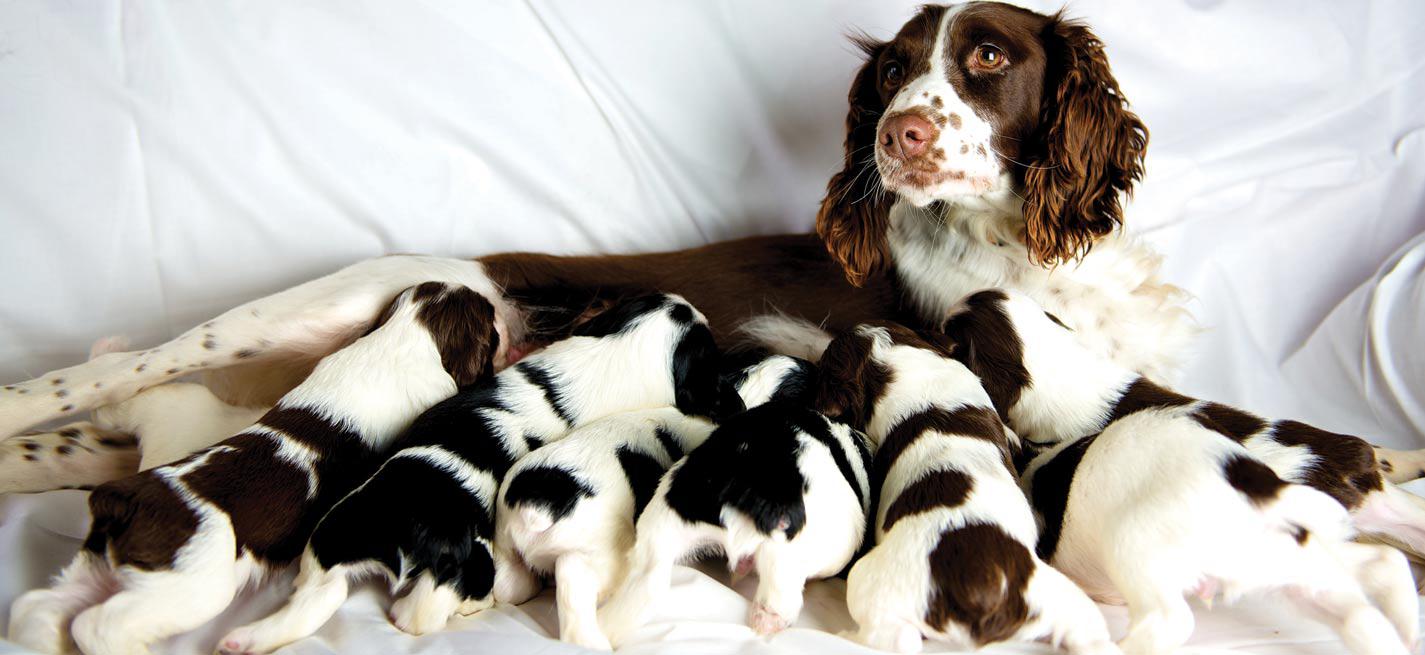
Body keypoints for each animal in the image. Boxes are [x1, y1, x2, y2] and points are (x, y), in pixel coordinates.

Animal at [5, 283, 504, 655]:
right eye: (492, 326)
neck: (402, 337)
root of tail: (124, 497)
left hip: (101, 554)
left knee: (42, 603)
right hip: (193, 587)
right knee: (98, 624)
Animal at [222, 293, 735, 655]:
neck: (613, 350)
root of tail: (411, 527)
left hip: (339, 533)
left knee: (316, 600)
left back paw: (243, 640)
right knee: (436, 607)